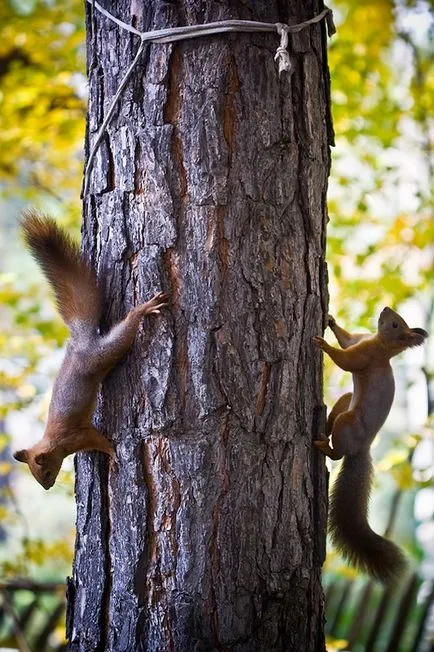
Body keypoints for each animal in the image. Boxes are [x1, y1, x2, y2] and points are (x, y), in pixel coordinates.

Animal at [12, 211, 167, 492]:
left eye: (46, 472)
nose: (47, 487)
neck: (54, 442)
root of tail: (81, 343)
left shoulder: (79, 435)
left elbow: (101, 441)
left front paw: (114, 457)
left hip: (103, 354)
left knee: (125, 332)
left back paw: (143, 310)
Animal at [312, 308, 428, 584]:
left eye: (395, 324)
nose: (385, 309)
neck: (380, 344)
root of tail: (362, 448)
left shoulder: (366, 356)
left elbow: (346, 360)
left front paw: (324, 345)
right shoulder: (360, 341)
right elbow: (347, 340)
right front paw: (330, 321)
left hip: (349, 422)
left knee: (337, 453)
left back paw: (324, 446)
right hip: (346, 401)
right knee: (338, 411)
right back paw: (324, 424)